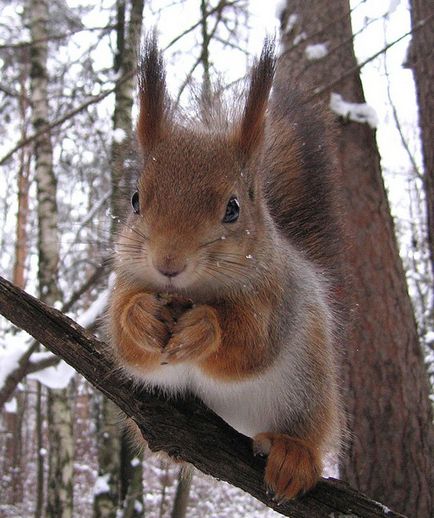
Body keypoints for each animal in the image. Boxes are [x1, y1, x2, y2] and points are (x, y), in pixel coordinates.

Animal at [109, 33, 346, 504]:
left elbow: (250, 344)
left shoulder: (277, 295)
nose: (168, 263)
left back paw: (294, 454)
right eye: (135, 199)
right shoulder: (126, 279)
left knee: (308, 427)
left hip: (310, 384)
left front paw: (205, 329)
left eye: (233, 208)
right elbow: (125, 341)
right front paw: (140, 318)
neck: (192, 294)